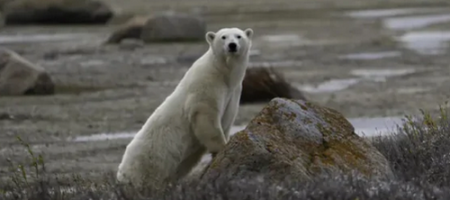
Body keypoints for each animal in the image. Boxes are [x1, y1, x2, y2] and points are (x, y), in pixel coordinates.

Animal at [116, 27, 255, 191]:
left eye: (239, 36)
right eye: (223, 37)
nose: (232, 45)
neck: (223, 72)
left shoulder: (233, 92)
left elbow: (226, 118)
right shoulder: (206, 83)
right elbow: (205, 114)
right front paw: (222, 147)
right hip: (147, 162)